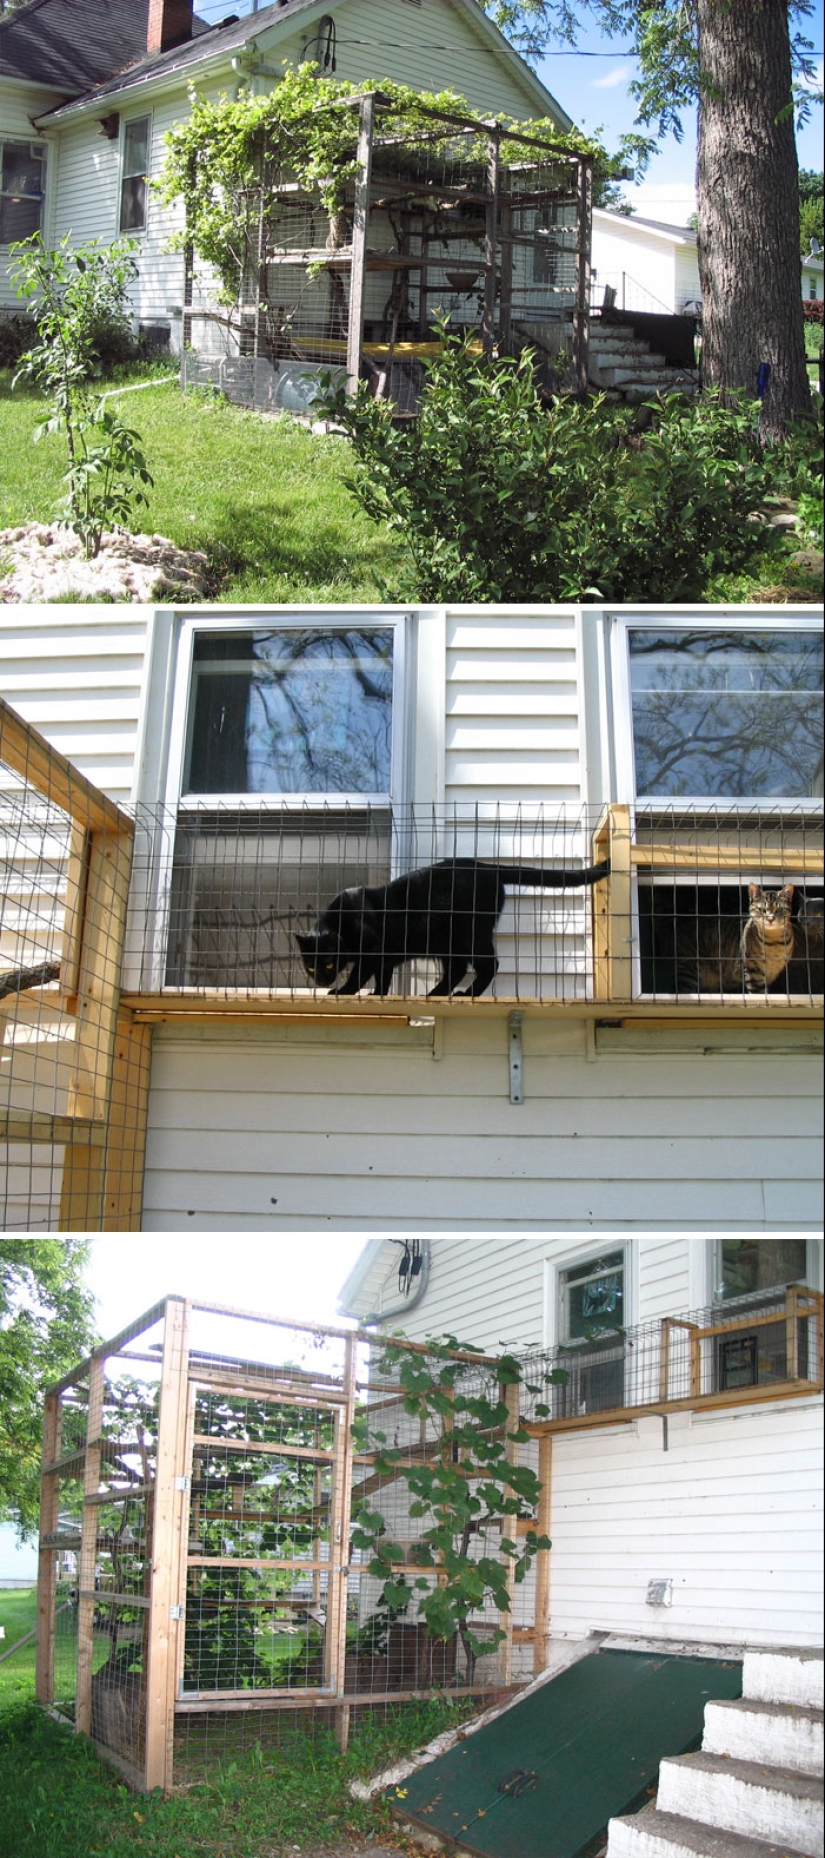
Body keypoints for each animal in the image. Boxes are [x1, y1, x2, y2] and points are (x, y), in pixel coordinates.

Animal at [293, 854, 609, 1003]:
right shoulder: (385, 957)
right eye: (310, 966)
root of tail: (488, 867)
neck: (339, 922)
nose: (321, 980)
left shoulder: (372, 949)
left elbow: (359, 974)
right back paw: (436, 993)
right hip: (449, 944)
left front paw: (343, 992)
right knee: (457, 970)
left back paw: (466, 995)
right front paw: (377, 996)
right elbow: (383, 978)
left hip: (469, 935)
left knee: (489, 965)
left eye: (329, 964)